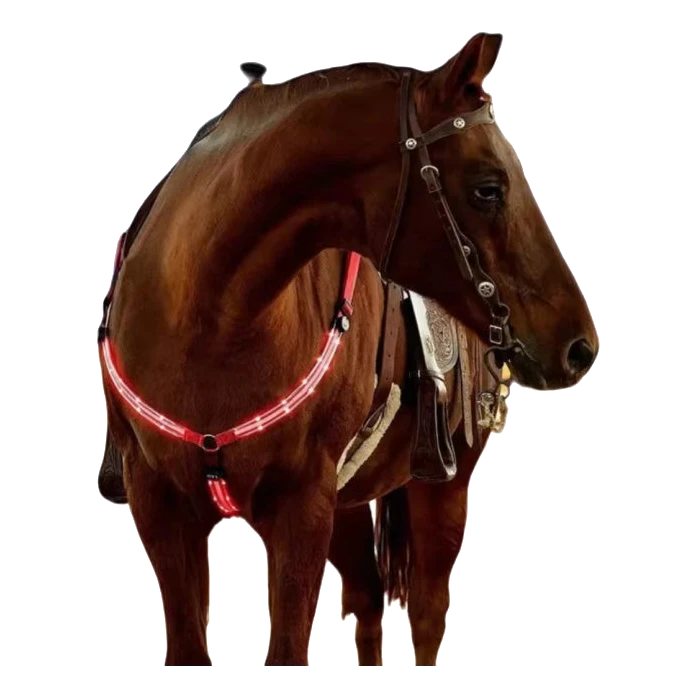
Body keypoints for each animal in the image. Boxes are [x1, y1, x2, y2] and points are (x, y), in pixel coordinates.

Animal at [97, 33, 598, 669]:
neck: (209, 321)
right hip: (348, 503)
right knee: (366, 599)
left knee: (427, 612)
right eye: (488, 188)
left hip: (441, 487)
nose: (580, 345)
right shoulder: (161, 506)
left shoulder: (302, 507)